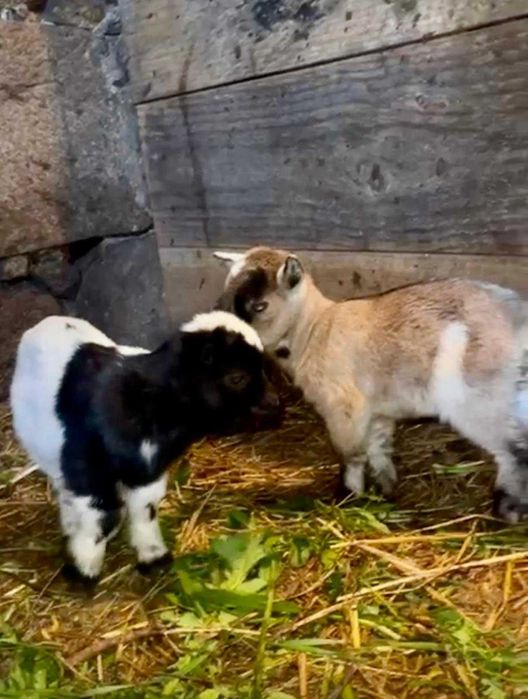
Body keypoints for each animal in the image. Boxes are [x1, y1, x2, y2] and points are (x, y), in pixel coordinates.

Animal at [10, 312, 281, 581]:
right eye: (237, 377)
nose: (275, 403)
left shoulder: (148, 470)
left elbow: (145, 509)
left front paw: (153, 556)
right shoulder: (90, 467)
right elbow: (104, 517)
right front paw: (83, 568)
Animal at [214, 247, 528, 522]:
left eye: (260, 305)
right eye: (224, 298)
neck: (314, 331)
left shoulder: (343, 407)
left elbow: (350, 455)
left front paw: (345, 497)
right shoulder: (377, 413)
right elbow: (378, 450)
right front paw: (386, 492)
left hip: (479, 397)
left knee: (512, 450)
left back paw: (506, 511)